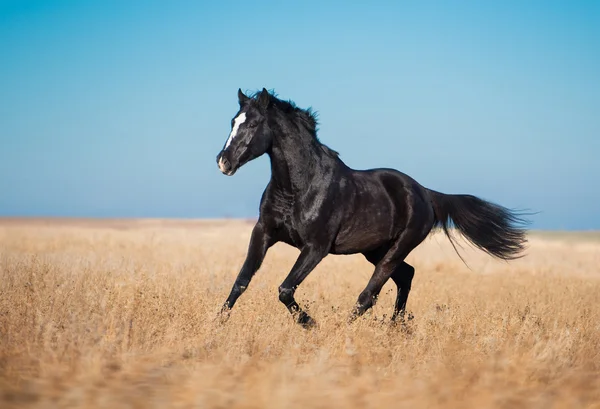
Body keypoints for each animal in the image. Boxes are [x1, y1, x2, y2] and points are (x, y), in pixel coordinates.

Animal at [216, 87, 528, 326]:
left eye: (253, 124)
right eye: (233, 121)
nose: (223, 162)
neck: (298, 187)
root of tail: (425, 194)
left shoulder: (316, 247)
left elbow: (284, 289)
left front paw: (310, 323)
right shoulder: (264, 233)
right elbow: (241, 280)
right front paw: (218, 324)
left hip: (397, 247)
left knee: (370, 293)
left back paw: (346, 328)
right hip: (375, 250)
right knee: (405, 276)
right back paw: (396, 326)